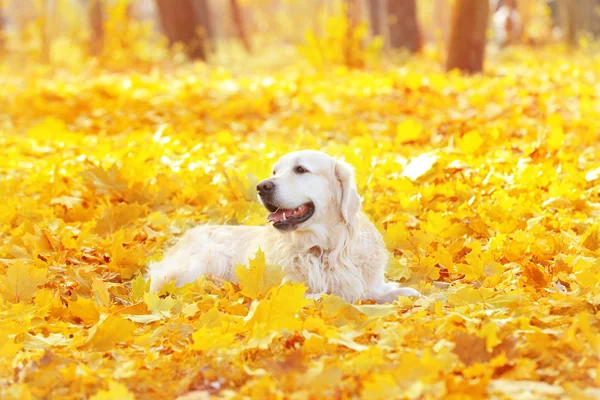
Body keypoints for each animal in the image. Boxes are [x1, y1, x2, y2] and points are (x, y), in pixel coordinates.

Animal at [146, 151, 420, 304]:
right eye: (275, 171)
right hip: (195, 264)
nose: (262, 186)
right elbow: (324, 295)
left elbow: (394, 291)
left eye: (301, 169)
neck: (321, 249)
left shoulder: (369, 284)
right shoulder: (285, 288)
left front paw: (409, 294)